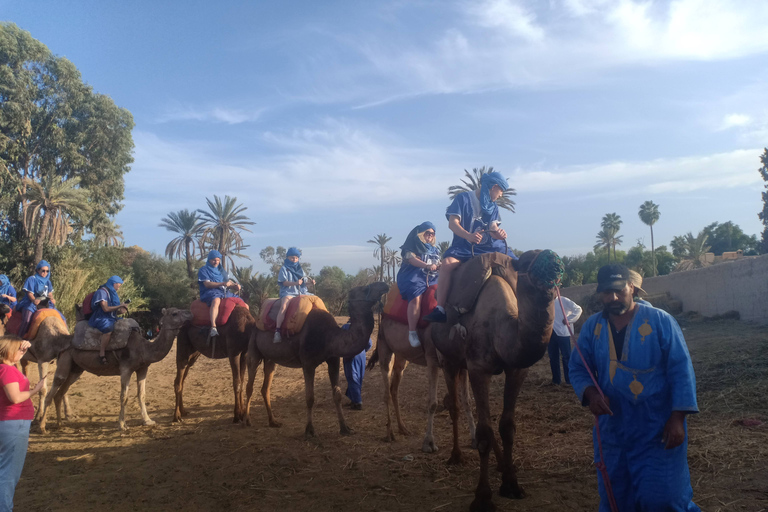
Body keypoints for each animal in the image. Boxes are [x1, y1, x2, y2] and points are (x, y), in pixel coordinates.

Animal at [38, 308, 195, 432]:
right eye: (175, 313)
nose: (190, 313)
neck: (144, 348)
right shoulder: (126, 368)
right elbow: (123, 397)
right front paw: (122, 425)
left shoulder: (142, 368)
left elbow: (142, 395)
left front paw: (148, 421)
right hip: (65, 360)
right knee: (53, 388)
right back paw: (42, 427)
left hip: (76, 369)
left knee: (60, 393)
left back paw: (59, 425)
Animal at [244, 282, 390, 438]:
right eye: (364, 288)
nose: (384, 285)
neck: (329, 337)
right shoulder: (308, 363)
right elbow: (310, 397)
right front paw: (309, 430)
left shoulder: (333, 360)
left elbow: (337, 395)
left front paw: (345, 428)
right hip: (254, 347)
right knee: (250, 383)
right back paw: (246, 420)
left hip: (271, 359)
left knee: (266, 387)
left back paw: (273, 421)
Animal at [364, 320, 476, 452]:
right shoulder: (433, 359)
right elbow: (433, 402)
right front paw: (429, 443)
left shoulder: (462, 365)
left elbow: (467, 401)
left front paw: (474, 439)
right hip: (385, 348)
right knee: (387, 392)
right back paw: (389, 434)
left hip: (402, 358)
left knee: (394, 389)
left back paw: (403, 428)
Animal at [432, 249, 564, 512]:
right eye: (526, 261)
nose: (553, 264)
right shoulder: (479, 369)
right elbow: (484, 431)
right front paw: (483, 498)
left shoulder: (517, 369)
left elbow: (507, 427)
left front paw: (512, 484)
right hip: (447, 360)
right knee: (455, 406)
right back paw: (456, 456)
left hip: (462, 365)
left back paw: (501, 463)